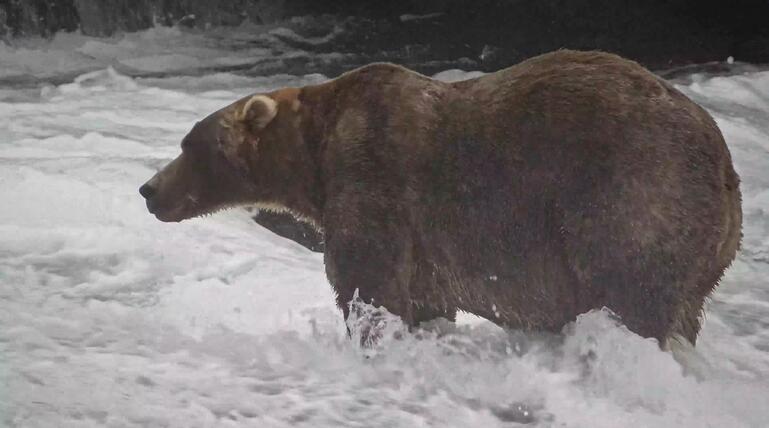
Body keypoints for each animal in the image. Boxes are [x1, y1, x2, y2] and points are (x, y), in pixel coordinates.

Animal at [139, 50, 742, 346]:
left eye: (189, 145)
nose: (148, 190)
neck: (314, 155)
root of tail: (725, 164)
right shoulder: (426, 245)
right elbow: (425, 297)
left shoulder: (374, 176)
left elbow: (367, 280)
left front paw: (371, 335)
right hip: (707, 251)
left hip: (631, 194)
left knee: (630, 290)